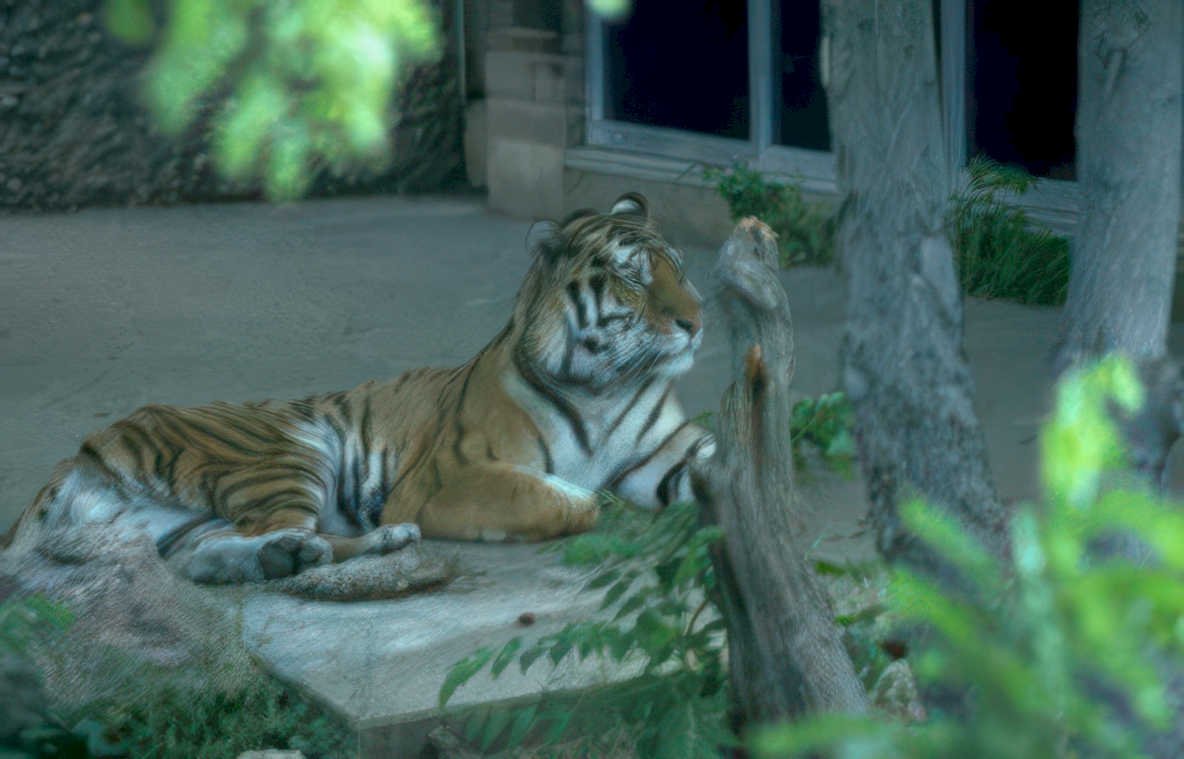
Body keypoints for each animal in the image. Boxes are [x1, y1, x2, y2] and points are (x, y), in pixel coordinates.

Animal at [3, 192, 715, 584]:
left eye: (678, 270)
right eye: (633, 277)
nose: (698, 319)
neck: (609, 385)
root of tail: (83, 449)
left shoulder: (671, 453)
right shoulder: (447, 479)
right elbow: (572, 502)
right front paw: (598, 503)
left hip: (173, 524)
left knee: (205, 559)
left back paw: (297, 558)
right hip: (286, 451)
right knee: (276, 533)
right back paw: (335, 547)